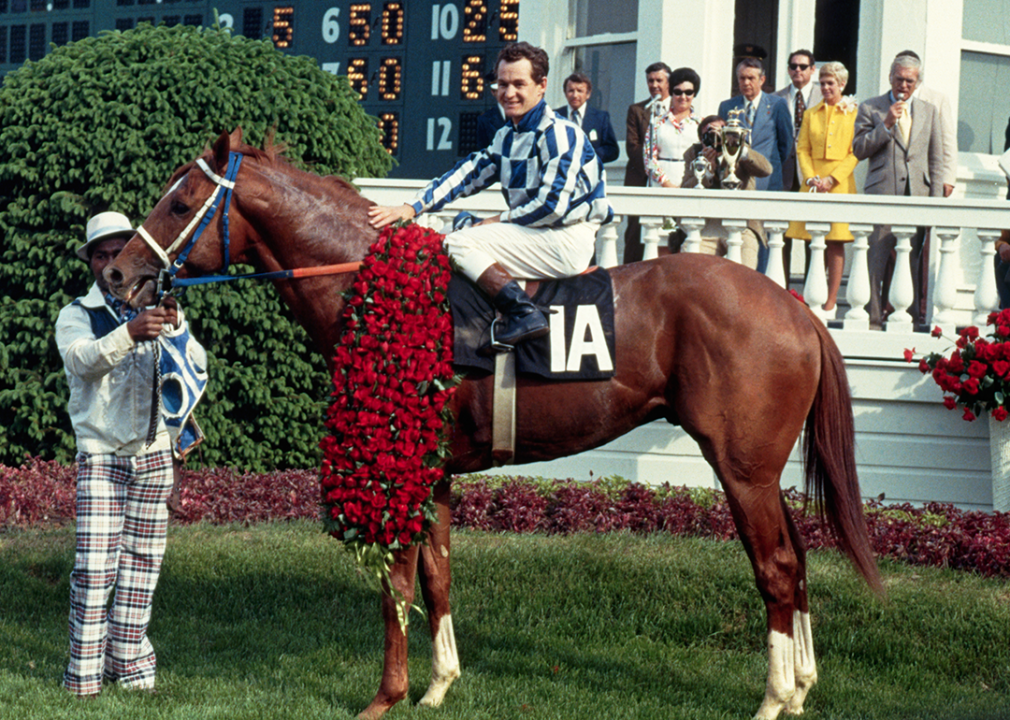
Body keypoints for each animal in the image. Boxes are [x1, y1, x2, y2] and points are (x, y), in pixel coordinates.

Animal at [106, 130, 880, 718]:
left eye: (180, 200)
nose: (116, 274)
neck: (371, 286)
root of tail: (798, 309)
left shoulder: (398, 462)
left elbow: (395, 581)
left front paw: (384, 697)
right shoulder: (438, 470)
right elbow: (438, 576)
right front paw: (438, 687)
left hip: (740, 466)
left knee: (777, 567)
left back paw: (773, 698)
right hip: (762, 468)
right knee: (798, 558)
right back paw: (802, 687)